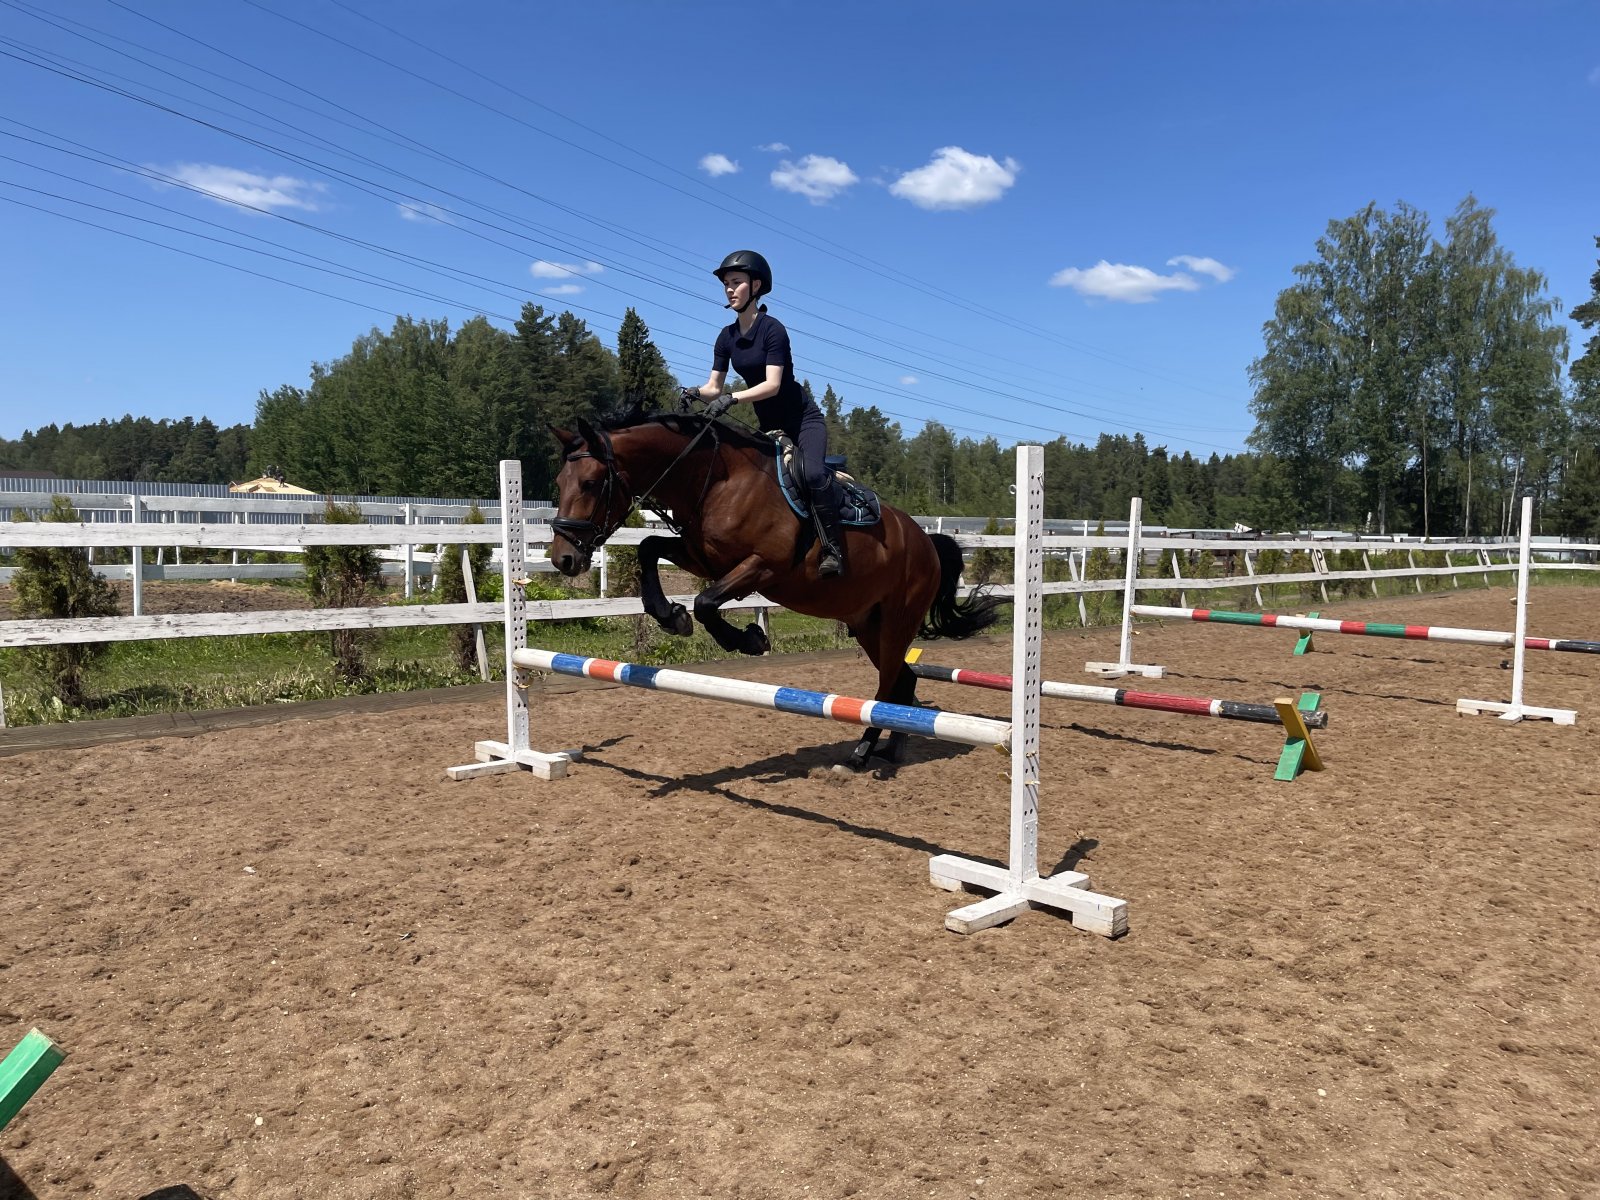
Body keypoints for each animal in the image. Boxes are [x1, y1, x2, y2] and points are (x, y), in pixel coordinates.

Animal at [546, 410, 1001, 771]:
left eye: (590, 483)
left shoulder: (763, 567)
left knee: (891, 682)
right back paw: (889, 751)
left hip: (895, 623)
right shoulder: (702, 557)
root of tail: (927, 542)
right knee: (902, 681)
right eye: (560, 481)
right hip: (868, 626)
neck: (718, 479)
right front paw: (670, 615)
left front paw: (748, 639)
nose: (563, 559)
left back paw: (861, 754)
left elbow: (706, 602)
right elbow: (648, 547)